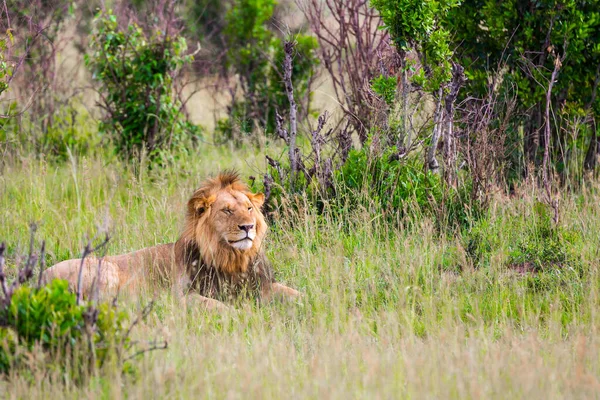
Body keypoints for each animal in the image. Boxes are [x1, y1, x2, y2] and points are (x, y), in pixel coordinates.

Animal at [43, 172, 300, 310]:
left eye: (248, 208)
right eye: (227, 211)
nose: (248, 227)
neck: (232, 260)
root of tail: (40, 276)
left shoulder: (261, 285)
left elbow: (296, 294)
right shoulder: (182, 296)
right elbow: (218, 306)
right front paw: (241, 314)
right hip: (105, 271)